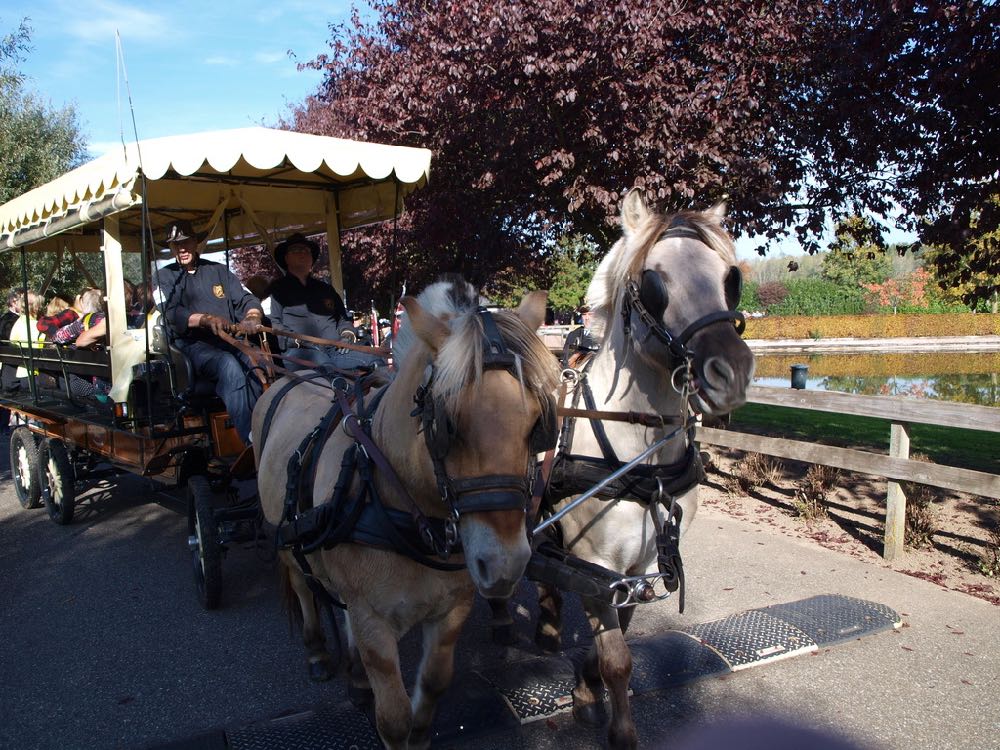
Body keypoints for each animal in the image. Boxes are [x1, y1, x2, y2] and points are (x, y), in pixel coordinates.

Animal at [254, 278, 560, 750]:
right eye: (447, 425)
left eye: (536, 425)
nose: (504, 565)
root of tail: (296, 376)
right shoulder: (373, 621)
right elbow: (394, 717)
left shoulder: (451, 610)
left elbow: (433, 685)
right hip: (287, 539)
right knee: (304, 586)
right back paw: (318, 650)